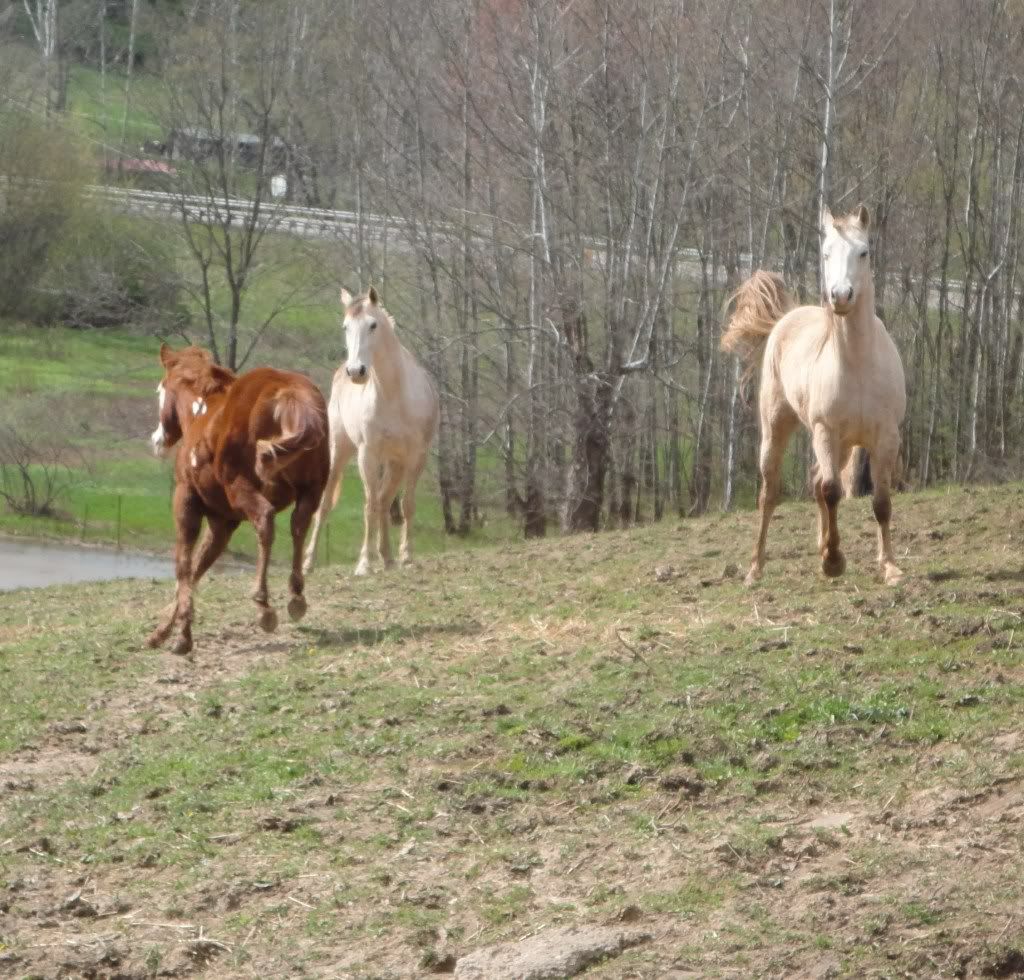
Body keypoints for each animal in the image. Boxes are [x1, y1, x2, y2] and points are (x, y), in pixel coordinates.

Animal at [147, 344, 329, 655]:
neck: (202, 414)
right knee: (299, 526)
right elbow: (198, 567)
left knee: (265, 520)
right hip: (311, 491)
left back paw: (264, 605)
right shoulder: (223, 522)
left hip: (242, 488)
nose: (157, 439)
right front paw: (162, 632)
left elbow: (184, 565)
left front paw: (183, 637)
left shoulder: (186, 502)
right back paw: (295, 597)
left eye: (161, 389)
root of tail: (289, 395)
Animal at [303, 286, 440, 577]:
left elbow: (405, 505)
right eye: (346, 326)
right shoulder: (368, 454)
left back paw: (387, 557)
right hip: (339, 453)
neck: (394, 394)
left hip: (395, 463)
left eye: (373, 325)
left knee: (386, 500)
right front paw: (364, 563)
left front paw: (406, 557)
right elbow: (370, 506)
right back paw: (308, 562)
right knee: (325, 505)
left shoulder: (416, 456)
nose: (356, 371)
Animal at [721, 205, 907, 586]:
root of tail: (788, 316)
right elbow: (833, 491)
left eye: (864, 252)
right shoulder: (825, 430)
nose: (840, 296)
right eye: (825, 254)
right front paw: (834, 562)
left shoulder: (885, 437)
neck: (858, 364)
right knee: (771, 493)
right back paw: (755, 568)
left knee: (817, 479)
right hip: (779, 429)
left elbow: (881, 501)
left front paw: (890, 566)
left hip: (845, 445)